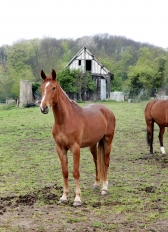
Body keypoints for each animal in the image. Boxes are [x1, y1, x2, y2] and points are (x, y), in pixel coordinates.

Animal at [39, 69, 115, 207]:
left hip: (107, 141)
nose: (43, 107)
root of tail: (107, 110)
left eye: (53, 87)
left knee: (106, 162)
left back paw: (104, 188)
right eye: (42, 88)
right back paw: (96, 184)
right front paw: (64, 197)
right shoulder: (60, 149)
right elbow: (65, 172)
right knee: (96, 161)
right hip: (93, 144)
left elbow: (75, 172)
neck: (65, 120)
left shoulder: (75, 148)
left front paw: (77, 199)